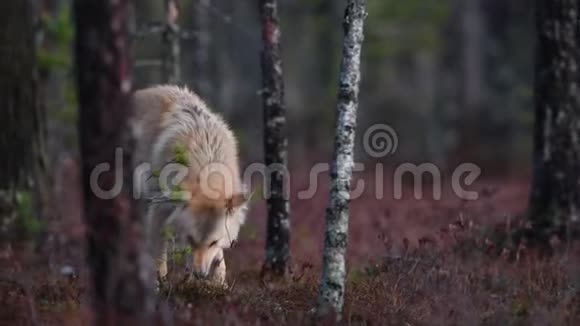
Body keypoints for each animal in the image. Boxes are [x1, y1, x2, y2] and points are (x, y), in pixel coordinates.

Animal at [130, 84, 248, 286]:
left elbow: (219, 260)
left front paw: (217, 283)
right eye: (191, 239)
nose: (201, 274)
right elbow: (159, 257)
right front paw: (158, 284)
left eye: (213, 242)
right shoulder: (158, 212)